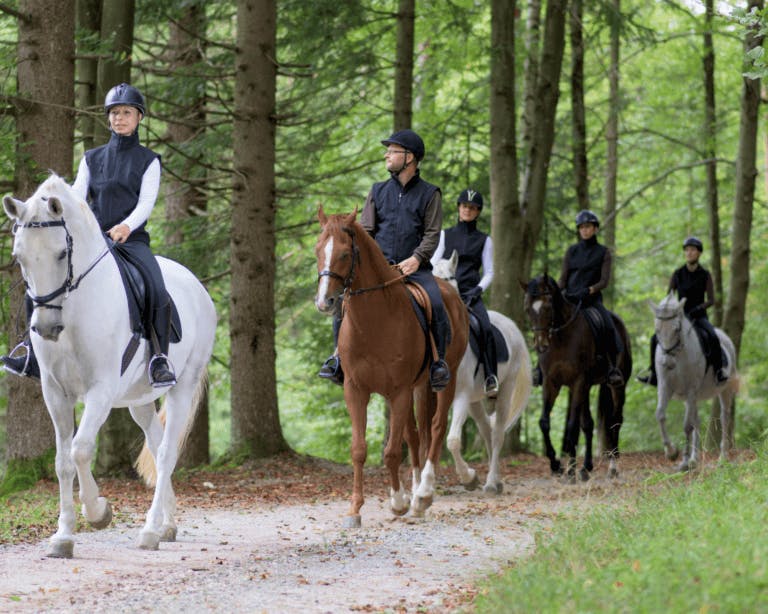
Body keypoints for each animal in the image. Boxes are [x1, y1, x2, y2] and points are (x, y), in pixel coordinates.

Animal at [2, 175, 216, 558]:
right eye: (19, 256)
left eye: (61, 253)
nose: (46, 328)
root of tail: (197, 287)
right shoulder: (54, 392)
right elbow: (62, 461)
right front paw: (63, 536)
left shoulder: (99, 391)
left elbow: (81, 449)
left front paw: (99, 512)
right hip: (139, 400)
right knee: (157, 443)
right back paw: (167, 525)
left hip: (183, 386)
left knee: (167, 452)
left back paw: (150, 531)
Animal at [314, 207, 468, 527]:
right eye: (318, 250)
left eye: (345, 254)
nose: (324, 302)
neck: (374, 321)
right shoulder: (356, 390)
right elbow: (360, 450)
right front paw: (355, 509)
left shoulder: (398, 392)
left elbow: (392, 452)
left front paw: (398, 502)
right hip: (417, 387)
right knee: (417, 433)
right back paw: (416, 492)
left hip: (445, 379)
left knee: (436, 428)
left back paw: (423, 494)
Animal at [432, 252, 532, 493]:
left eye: (449, 278)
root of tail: (512, 326)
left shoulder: (460, 396)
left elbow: (453, 440)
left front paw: (468, 478)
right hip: (475, 400)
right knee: (486, 429)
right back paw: (495, 479)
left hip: (504, 390)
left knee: (497, 434)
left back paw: (491, 483)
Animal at [520, 274, 631, 481]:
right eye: (527, 309)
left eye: (547, 307)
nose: (541, 345)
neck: (561, 337)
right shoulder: (551, 383)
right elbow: (544, 422)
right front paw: (557, 465)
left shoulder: (578, 381)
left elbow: (572, 426)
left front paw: (570, 470)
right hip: (587, 388)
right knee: (588, 424)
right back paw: (586, 468)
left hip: (617, 386)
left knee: (615, 421)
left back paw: (612, 468)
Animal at [649, 292, 739, 471]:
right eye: (657, 329)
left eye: (677, 329)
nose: (667, 363)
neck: (678, 356)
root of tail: (725, 337)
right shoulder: (665, 387)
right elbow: (660, 414)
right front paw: (671, 453)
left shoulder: (691, 389)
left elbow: (687, 425)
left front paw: (683, 460)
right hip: (693, 397)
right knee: (697, 420)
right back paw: (694, 459)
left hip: (724, 390)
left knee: (724, 417)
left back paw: (722, 457)